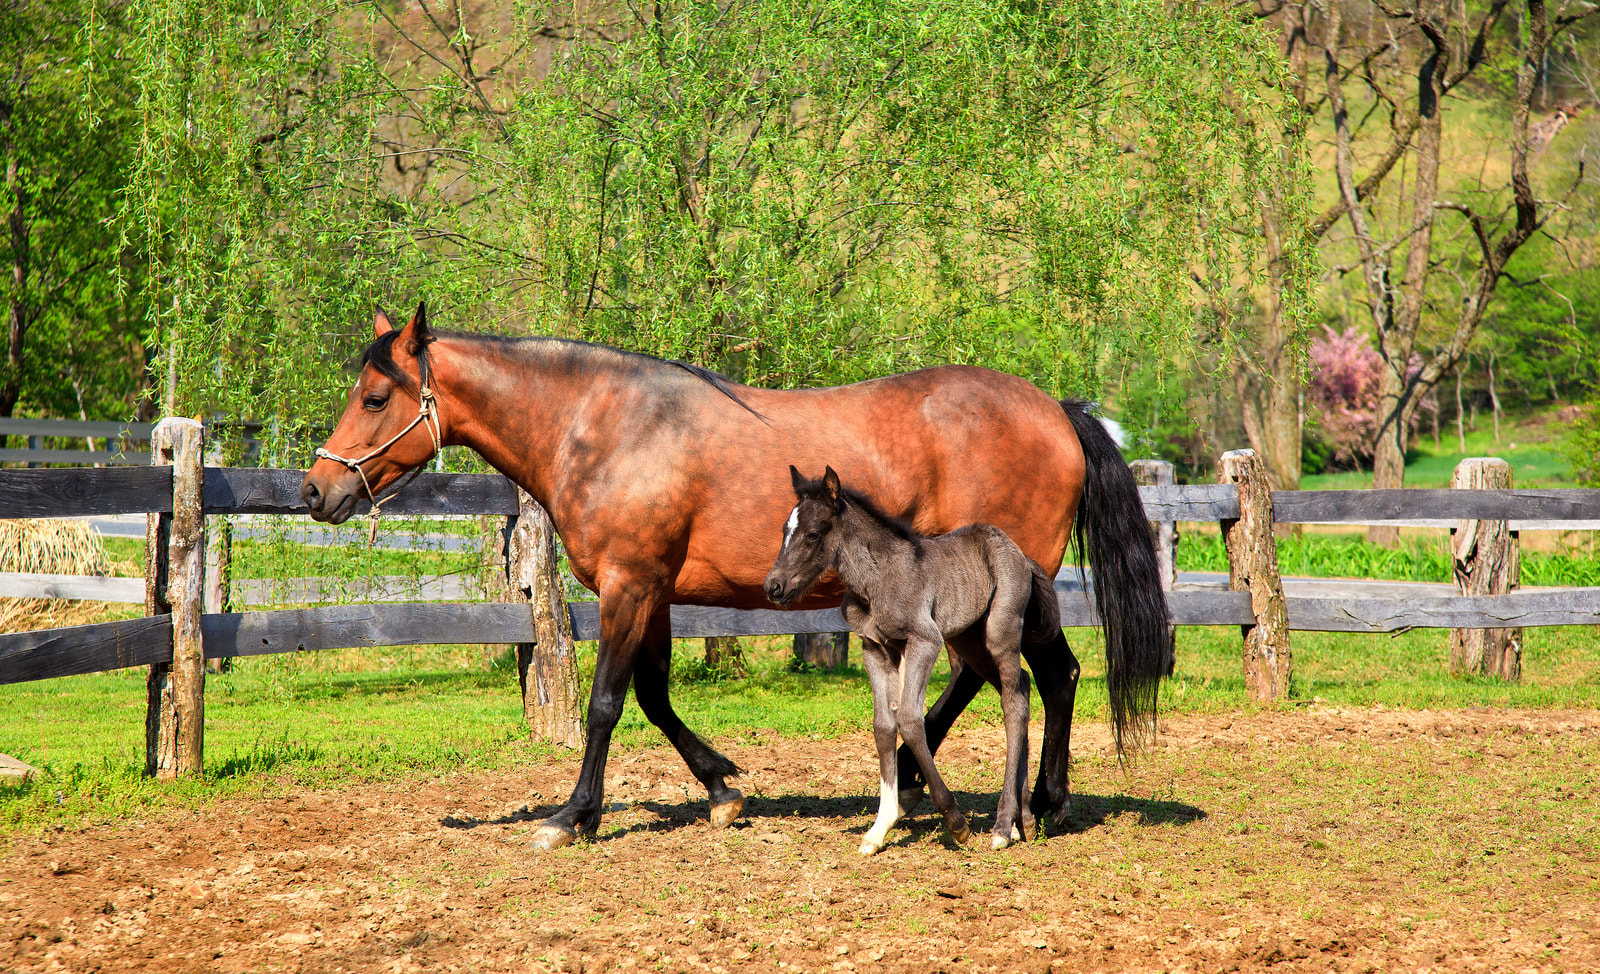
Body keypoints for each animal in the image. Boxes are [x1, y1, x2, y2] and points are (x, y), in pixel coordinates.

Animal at [766, 466, 1061, 854]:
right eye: (785, 530)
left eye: (813, 533)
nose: (773, 586)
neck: (877, 580)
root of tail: (1022, 555)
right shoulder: (876, 649)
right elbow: (883, 726)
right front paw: (879, 828)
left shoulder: (924, 641)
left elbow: (908, 719)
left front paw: (955, 822)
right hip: (969, 640)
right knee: (1021, 689)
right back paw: (1021, 820)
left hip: (1000, 633)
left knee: (1013, 702)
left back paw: (1001, 826)